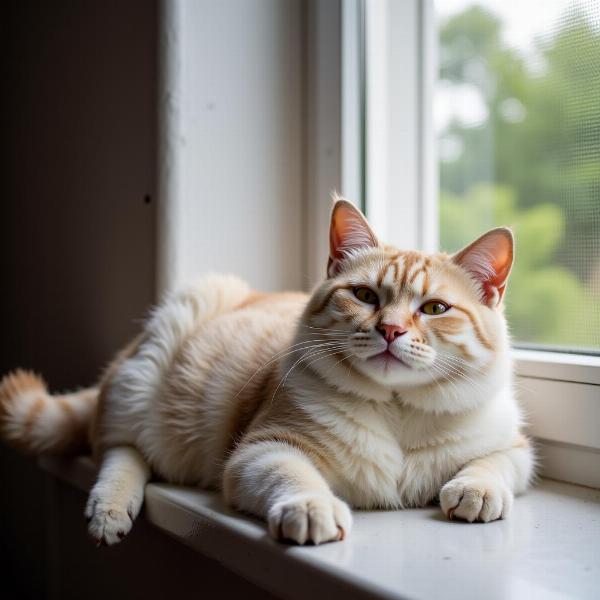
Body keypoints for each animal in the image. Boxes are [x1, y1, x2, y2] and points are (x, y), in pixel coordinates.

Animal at [0, 199, 536, 548]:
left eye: (435, 308)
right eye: (365, 296)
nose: (390, 329)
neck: (398, 411)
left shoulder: (514, 446)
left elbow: (495, 463)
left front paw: (476, 489)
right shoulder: (262, 450)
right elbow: (294, 476)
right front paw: (312, 510)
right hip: (146, 371)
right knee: (119, 448)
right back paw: (110, 510)